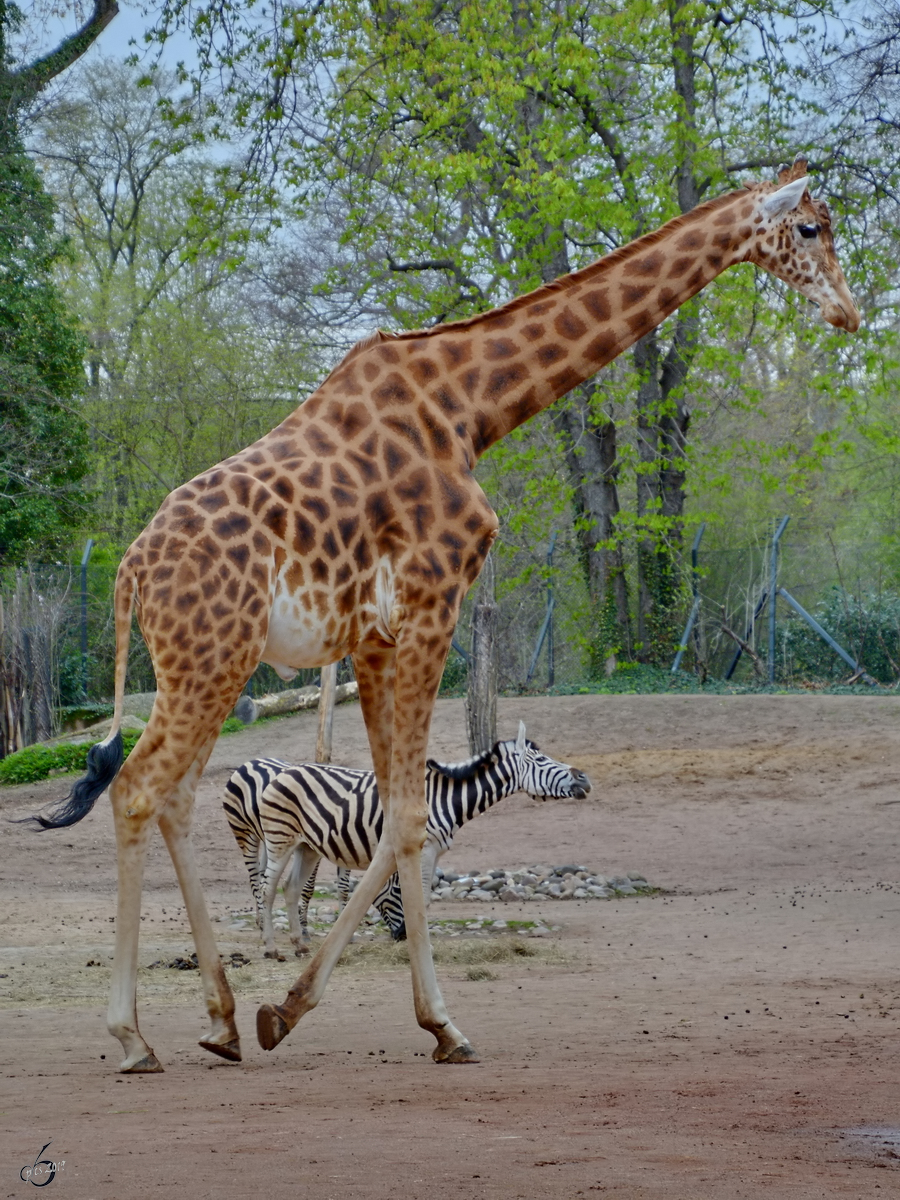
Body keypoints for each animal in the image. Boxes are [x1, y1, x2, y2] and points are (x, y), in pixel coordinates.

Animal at [224, 720, 592, 955]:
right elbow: (422, 899)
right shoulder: (424, 848)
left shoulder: (433, 851)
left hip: (307, 846)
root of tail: (281, 771)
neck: (442, 798)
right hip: (276, 839)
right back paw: (271, 948)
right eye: (541, 759)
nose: (585, 779)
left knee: (290, 888)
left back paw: (300, 945)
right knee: (266, 888)